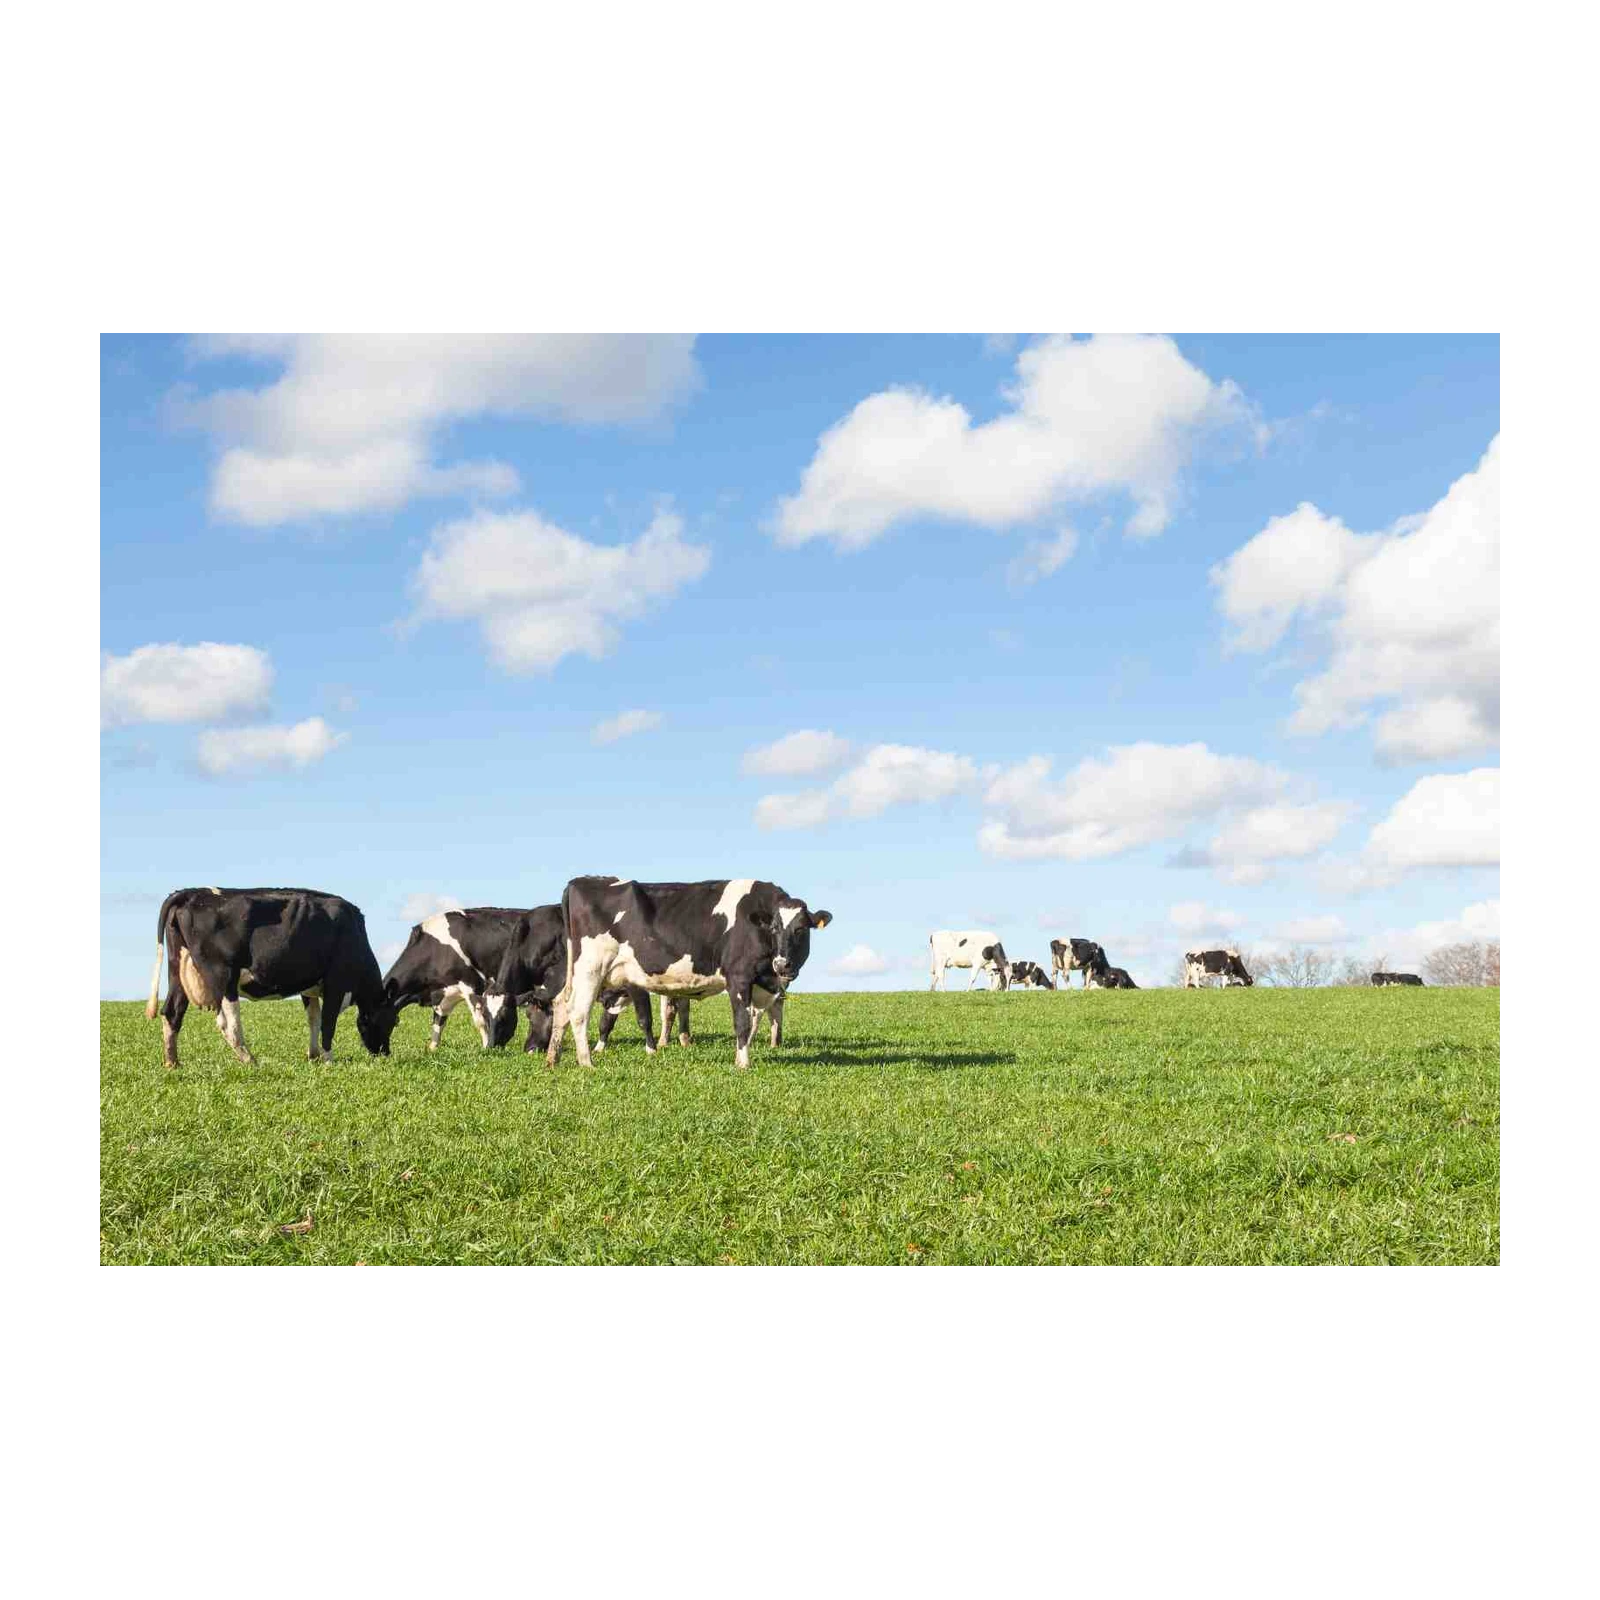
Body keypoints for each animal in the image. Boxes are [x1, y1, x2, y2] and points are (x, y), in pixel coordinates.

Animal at [146, 887, 398, 1068]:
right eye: (394, 1021)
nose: (385, 1053)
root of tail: (191, 893)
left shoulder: (309, 986)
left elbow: (313, 1019)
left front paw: (313, 1055)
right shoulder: (336, 983)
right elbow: (328, 1022)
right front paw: (328, 1060)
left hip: (177, 970)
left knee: (172, 1012)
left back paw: (173, 1063)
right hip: (222, 976)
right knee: (228, 1024)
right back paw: (250, 1060)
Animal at [480, 905, 679, 1055]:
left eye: (504, 1016)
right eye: (485, 1016)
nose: (490, 1047)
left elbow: (644, 1018)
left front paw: (651, 1049)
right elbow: (605, 1022)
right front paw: (599, 1048)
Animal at [545, 878, 832, 1071]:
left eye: (801, 929)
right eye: (774, 928)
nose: (783, 964)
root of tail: (580, 881)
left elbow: (753, 1021)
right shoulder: (738, 976)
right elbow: (742, 1022)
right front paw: (743, 1063)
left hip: (577, 971)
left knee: (561, 1004)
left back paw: (553, 1057)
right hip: (591, 967)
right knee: (578, 1011)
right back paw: (586, 1062)